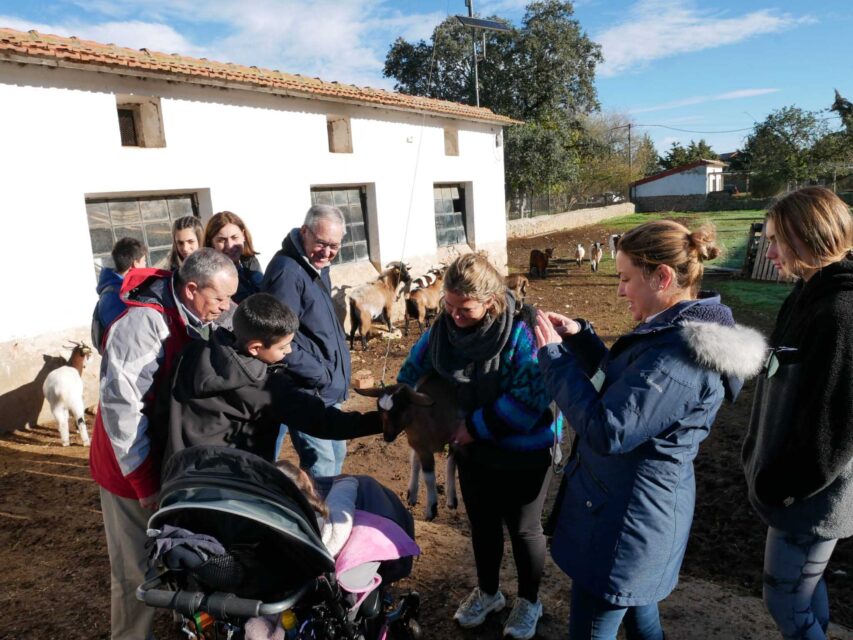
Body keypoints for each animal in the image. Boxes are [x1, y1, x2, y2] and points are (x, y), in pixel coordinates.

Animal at [354, 372, 460, 524]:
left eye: (400, 409)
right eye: (379, 410)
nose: (387, 437)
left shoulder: (456, 438)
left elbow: (445, 468)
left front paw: (434, 507)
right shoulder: (421, 447)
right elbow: (426, 474)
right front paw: (431, 507)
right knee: (415, 461)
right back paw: (412, 494)